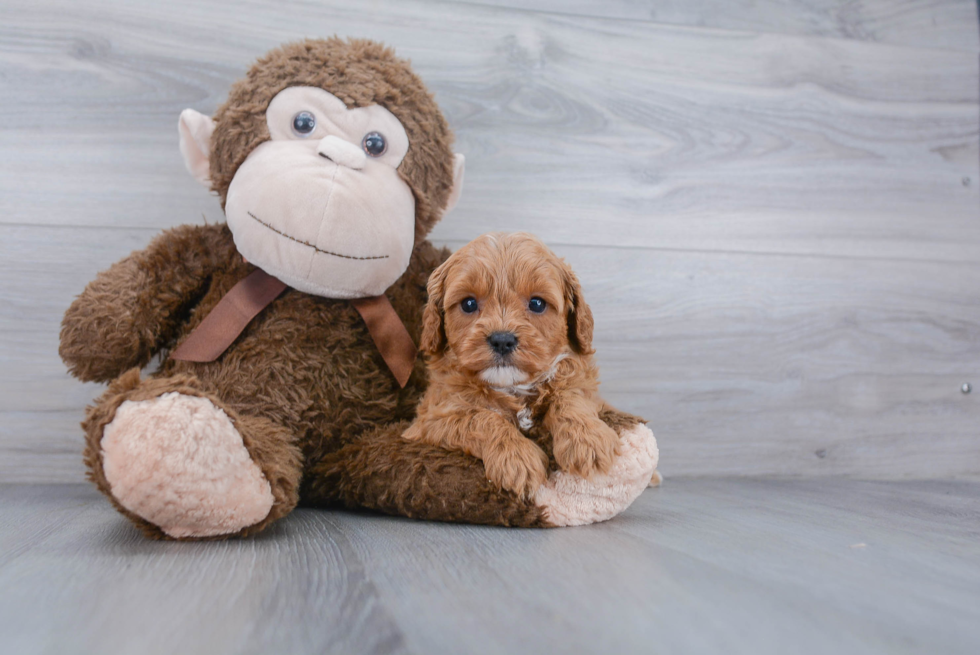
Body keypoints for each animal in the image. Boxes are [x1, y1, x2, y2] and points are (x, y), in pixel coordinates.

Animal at [400, 233, 616, 494]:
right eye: (469, 304)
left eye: (537, 303)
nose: (502, 340)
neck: (513, 387)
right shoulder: (430, 419)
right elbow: (480, 418)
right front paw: (516, 458)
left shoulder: (582, 384)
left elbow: (571, 396)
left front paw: (587, 439)